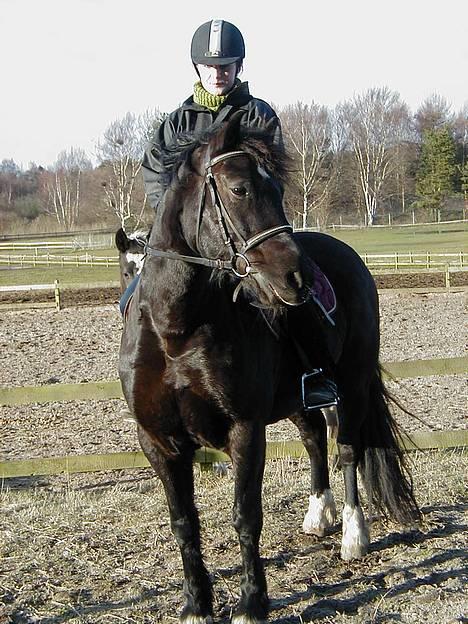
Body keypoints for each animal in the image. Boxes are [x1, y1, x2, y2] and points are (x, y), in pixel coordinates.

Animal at [117, 114, 416, 620]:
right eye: (239, 189)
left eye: (276, 188)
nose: (296, 277)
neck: (176, 330)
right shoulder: (157, 439)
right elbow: (183, 521)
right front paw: (196, 602)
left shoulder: (245, 428)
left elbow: (246, 515)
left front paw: (252, 601)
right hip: (299, 397)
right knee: (314, 439)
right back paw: (318, 515)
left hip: (353, 384)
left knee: (348, 449)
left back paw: (353, 535)